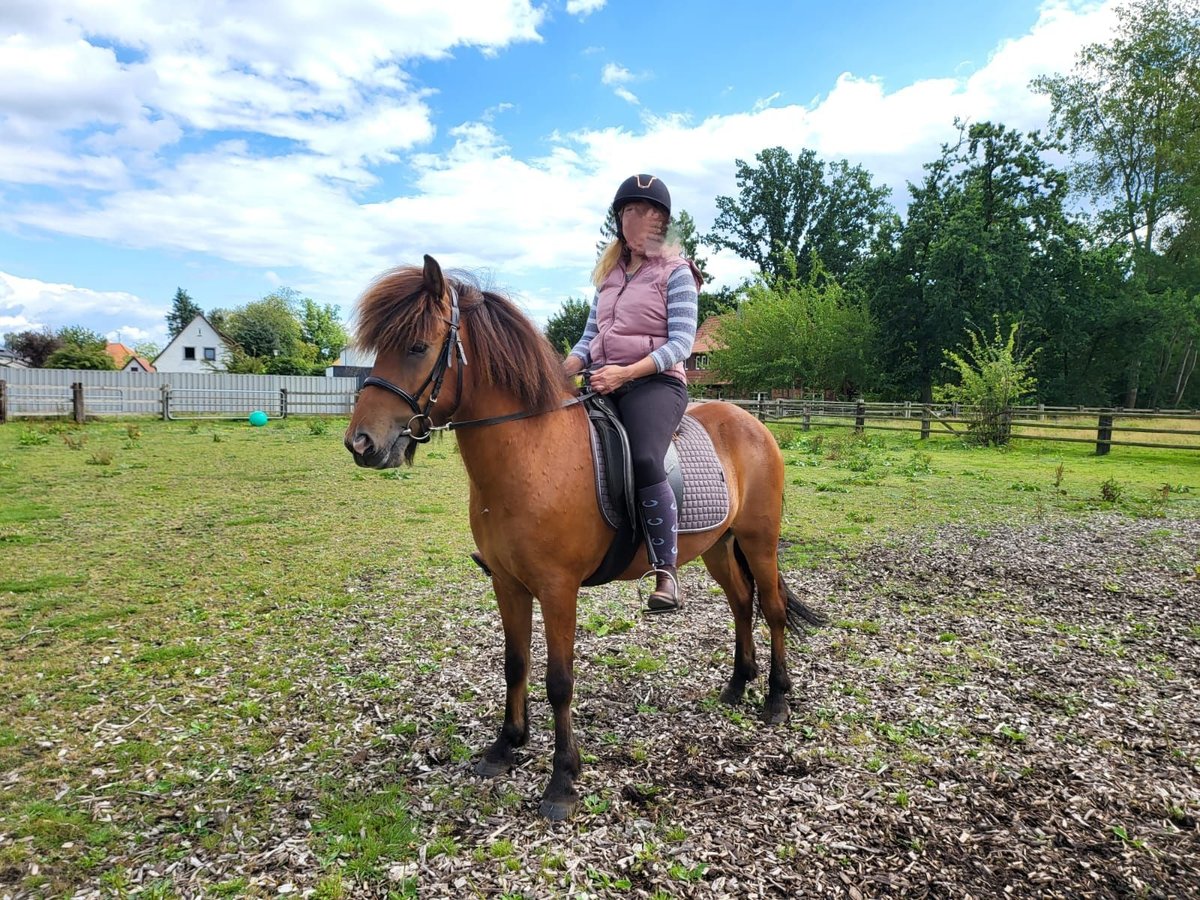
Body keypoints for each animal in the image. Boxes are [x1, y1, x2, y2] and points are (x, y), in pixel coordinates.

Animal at [343, 255, 820, 825]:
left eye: (417, 346)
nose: (360, 443)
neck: (531, 452)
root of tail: (752, 420)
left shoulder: (557, 590)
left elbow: (559, 680)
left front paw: (562, 781)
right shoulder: (507, 584)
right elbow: (515, 663)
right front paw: (505, 746)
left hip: (758, 540)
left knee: (771, 608)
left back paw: (776, 699)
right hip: (719, 547)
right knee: (742, 604)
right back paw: (736, 687)